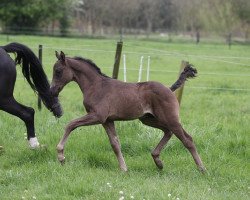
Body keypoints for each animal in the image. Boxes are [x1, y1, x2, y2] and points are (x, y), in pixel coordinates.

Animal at [50, 51, 205, 172]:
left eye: (58, 71)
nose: (52, 91)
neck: (97, 86)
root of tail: (169, 89)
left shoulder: (98, 116)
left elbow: (70, 124)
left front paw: (61, 156)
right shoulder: (107, 120)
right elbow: (115, 144)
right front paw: (124, 168)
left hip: (170, 118)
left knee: (187, 139)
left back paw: (202, 169)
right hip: (148, 119)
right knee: (168, 132)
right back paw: (158, 161)